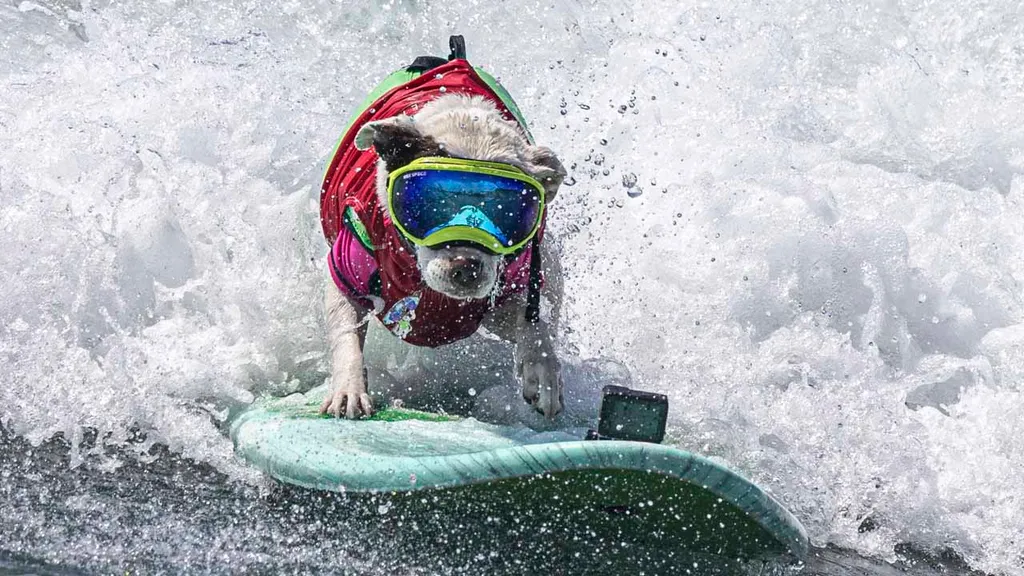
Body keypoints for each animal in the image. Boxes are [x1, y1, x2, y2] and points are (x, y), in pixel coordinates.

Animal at [315, 57, 565, 416]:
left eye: (505, 211)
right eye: (430, 203)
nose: (466, 266)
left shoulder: (505, 298)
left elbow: (532, 324)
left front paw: (542, 372)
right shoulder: (348, 270)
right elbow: (346, 331)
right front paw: (348, 389)